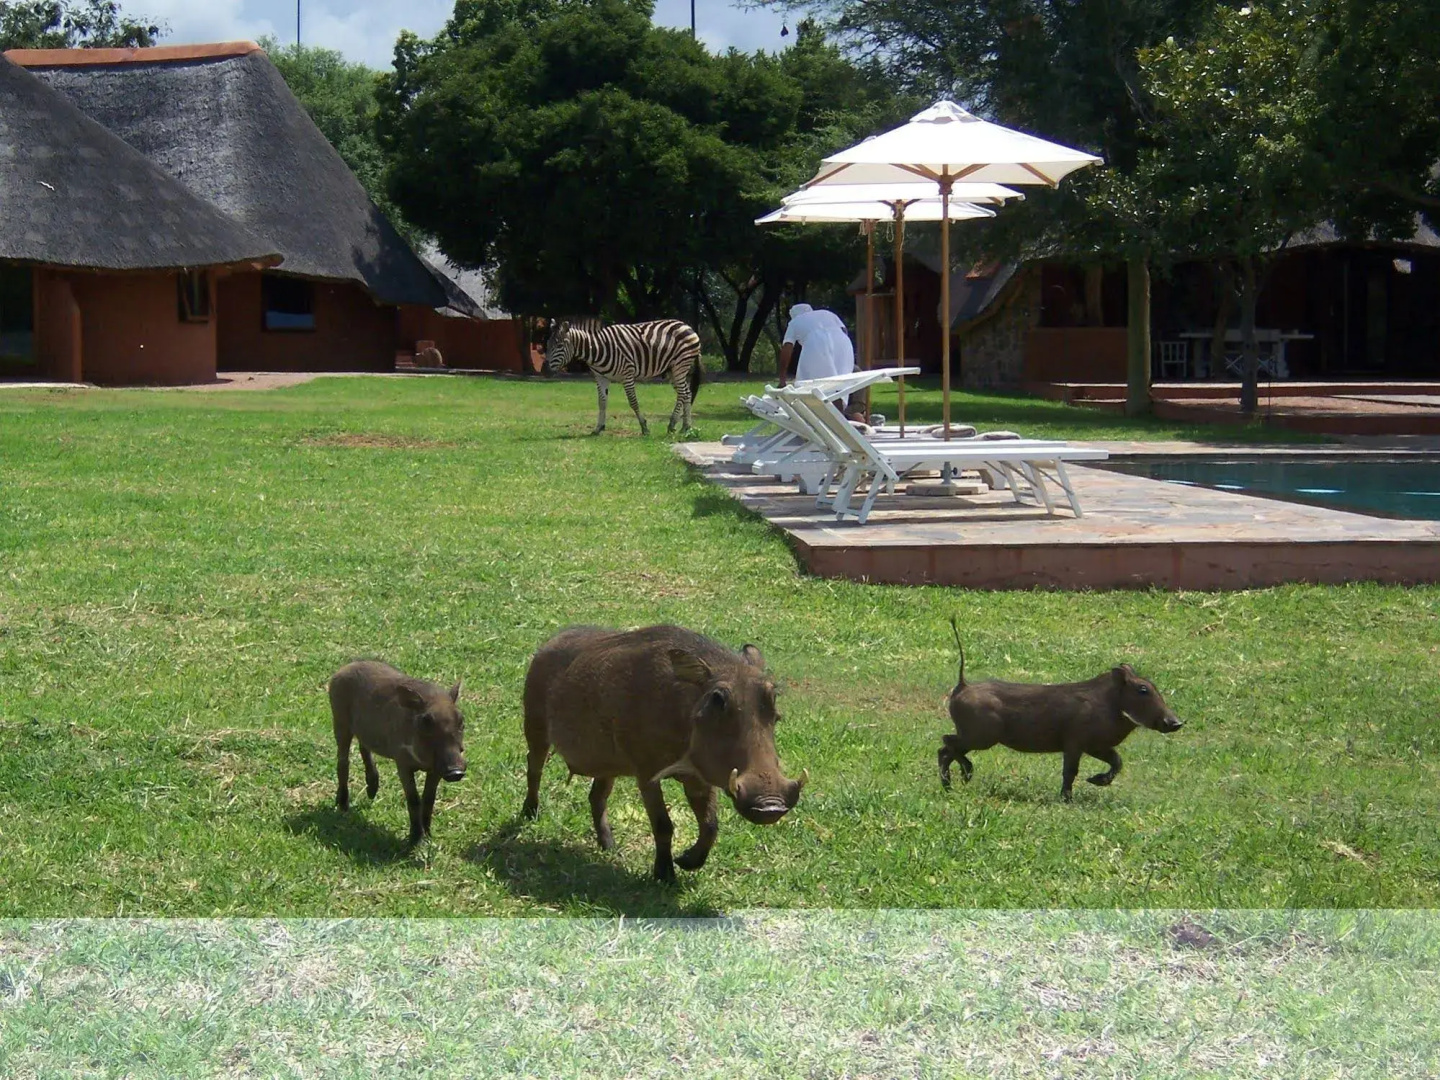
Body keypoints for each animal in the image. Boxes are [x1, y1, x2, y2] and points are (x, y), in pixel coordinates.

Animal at [545, 318, 703, 436]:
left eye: (559, 346)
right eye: (548, 344)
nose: (544, 370)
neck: (598, 349)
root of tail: (688, 326)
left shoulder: (627, 375)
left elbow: (633, 402)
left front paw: (644, 427)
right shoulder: (601, 377)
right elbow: (602, 402)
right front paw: (598, 428)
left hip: (680, 366)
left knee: (682, 394)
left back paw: (672, 424)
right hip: (673, 370)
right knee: (687, 393)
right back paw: (686, 427)